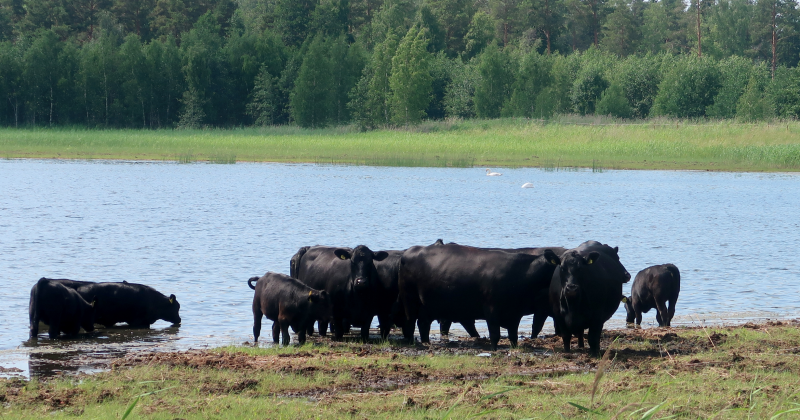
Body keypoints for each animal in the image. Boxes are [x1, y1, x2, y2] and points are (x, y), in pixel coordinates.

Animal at [396, 243, 560, 352]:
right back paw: (412, 342)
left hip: (427, 306)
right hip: (409, 300)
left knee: (424, 324)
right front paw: (494, 350)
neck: (521, 274)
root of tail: (411, 250)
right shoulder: (491, 309)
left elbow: (513, 335)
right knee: (410, 323)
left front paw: (514, 348)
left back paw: (426, 342)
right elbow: (495, 333)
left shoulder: (514, 313)